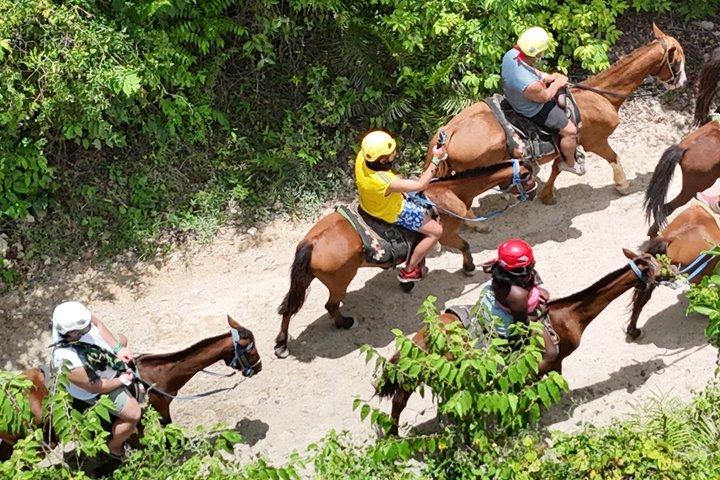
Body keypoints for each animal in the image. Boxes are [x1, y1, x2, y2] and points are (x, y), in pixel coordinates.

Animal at [0, 316, 261, 460]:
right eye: (251, 349)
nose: (258, 367)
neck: (156, 376)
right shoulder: (158, 409)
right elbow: (169, 434)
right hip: (37, 446)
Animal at [274, 160, 538, 358]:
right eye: (527, 175)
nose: (534, 192)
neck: (447, 193)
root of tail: (312, 242)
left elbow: (419, 256)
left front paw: (412, 276)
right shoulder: (446, 234)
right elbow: (464, 245)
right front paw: (469, 267)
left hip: (306, 278)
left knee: (288, 308)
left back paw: (282, 344)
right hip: (340, 281)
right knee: (330, 306)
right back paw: (345, 323)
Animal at [378, 249, 660, 435]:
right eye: (654, 267)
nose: (667, 274)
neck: (568, 315)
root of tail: (420, 339)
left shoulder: (556, 361)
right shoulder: (551, 358)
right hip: (421, 375)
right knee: (400, 400)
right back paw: (393, 434)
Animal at [425, 24, 686, 206]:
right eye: (678, 60)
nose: (682, 82)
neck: (599, 96)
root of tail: (447, 133)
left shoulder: (565, 143)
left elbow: (557, 168)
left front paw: (547, 193)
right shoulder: (595, 141)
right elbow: (612, 157)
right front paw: (622, 184)